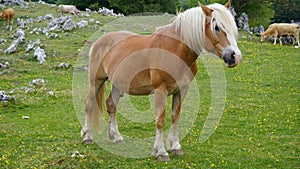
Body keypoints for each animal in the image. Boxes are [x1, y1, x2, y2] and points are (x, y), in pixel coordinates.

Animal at [80, 0, 241, 161]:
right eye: (216, 27)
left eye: (233, 27)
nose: (235, 56)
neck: (175, 50)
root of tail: (98, 42)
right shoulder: (160, 90)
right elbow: (160, 120)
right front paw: (161, 152)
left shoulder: (181, 89)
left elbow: (175, 116)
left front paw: (175, 147)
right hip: (96, 81)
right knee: (89, 103)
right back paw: (87, 136)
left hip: (117, 84)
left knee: (111, 105)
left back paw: (116, 137)